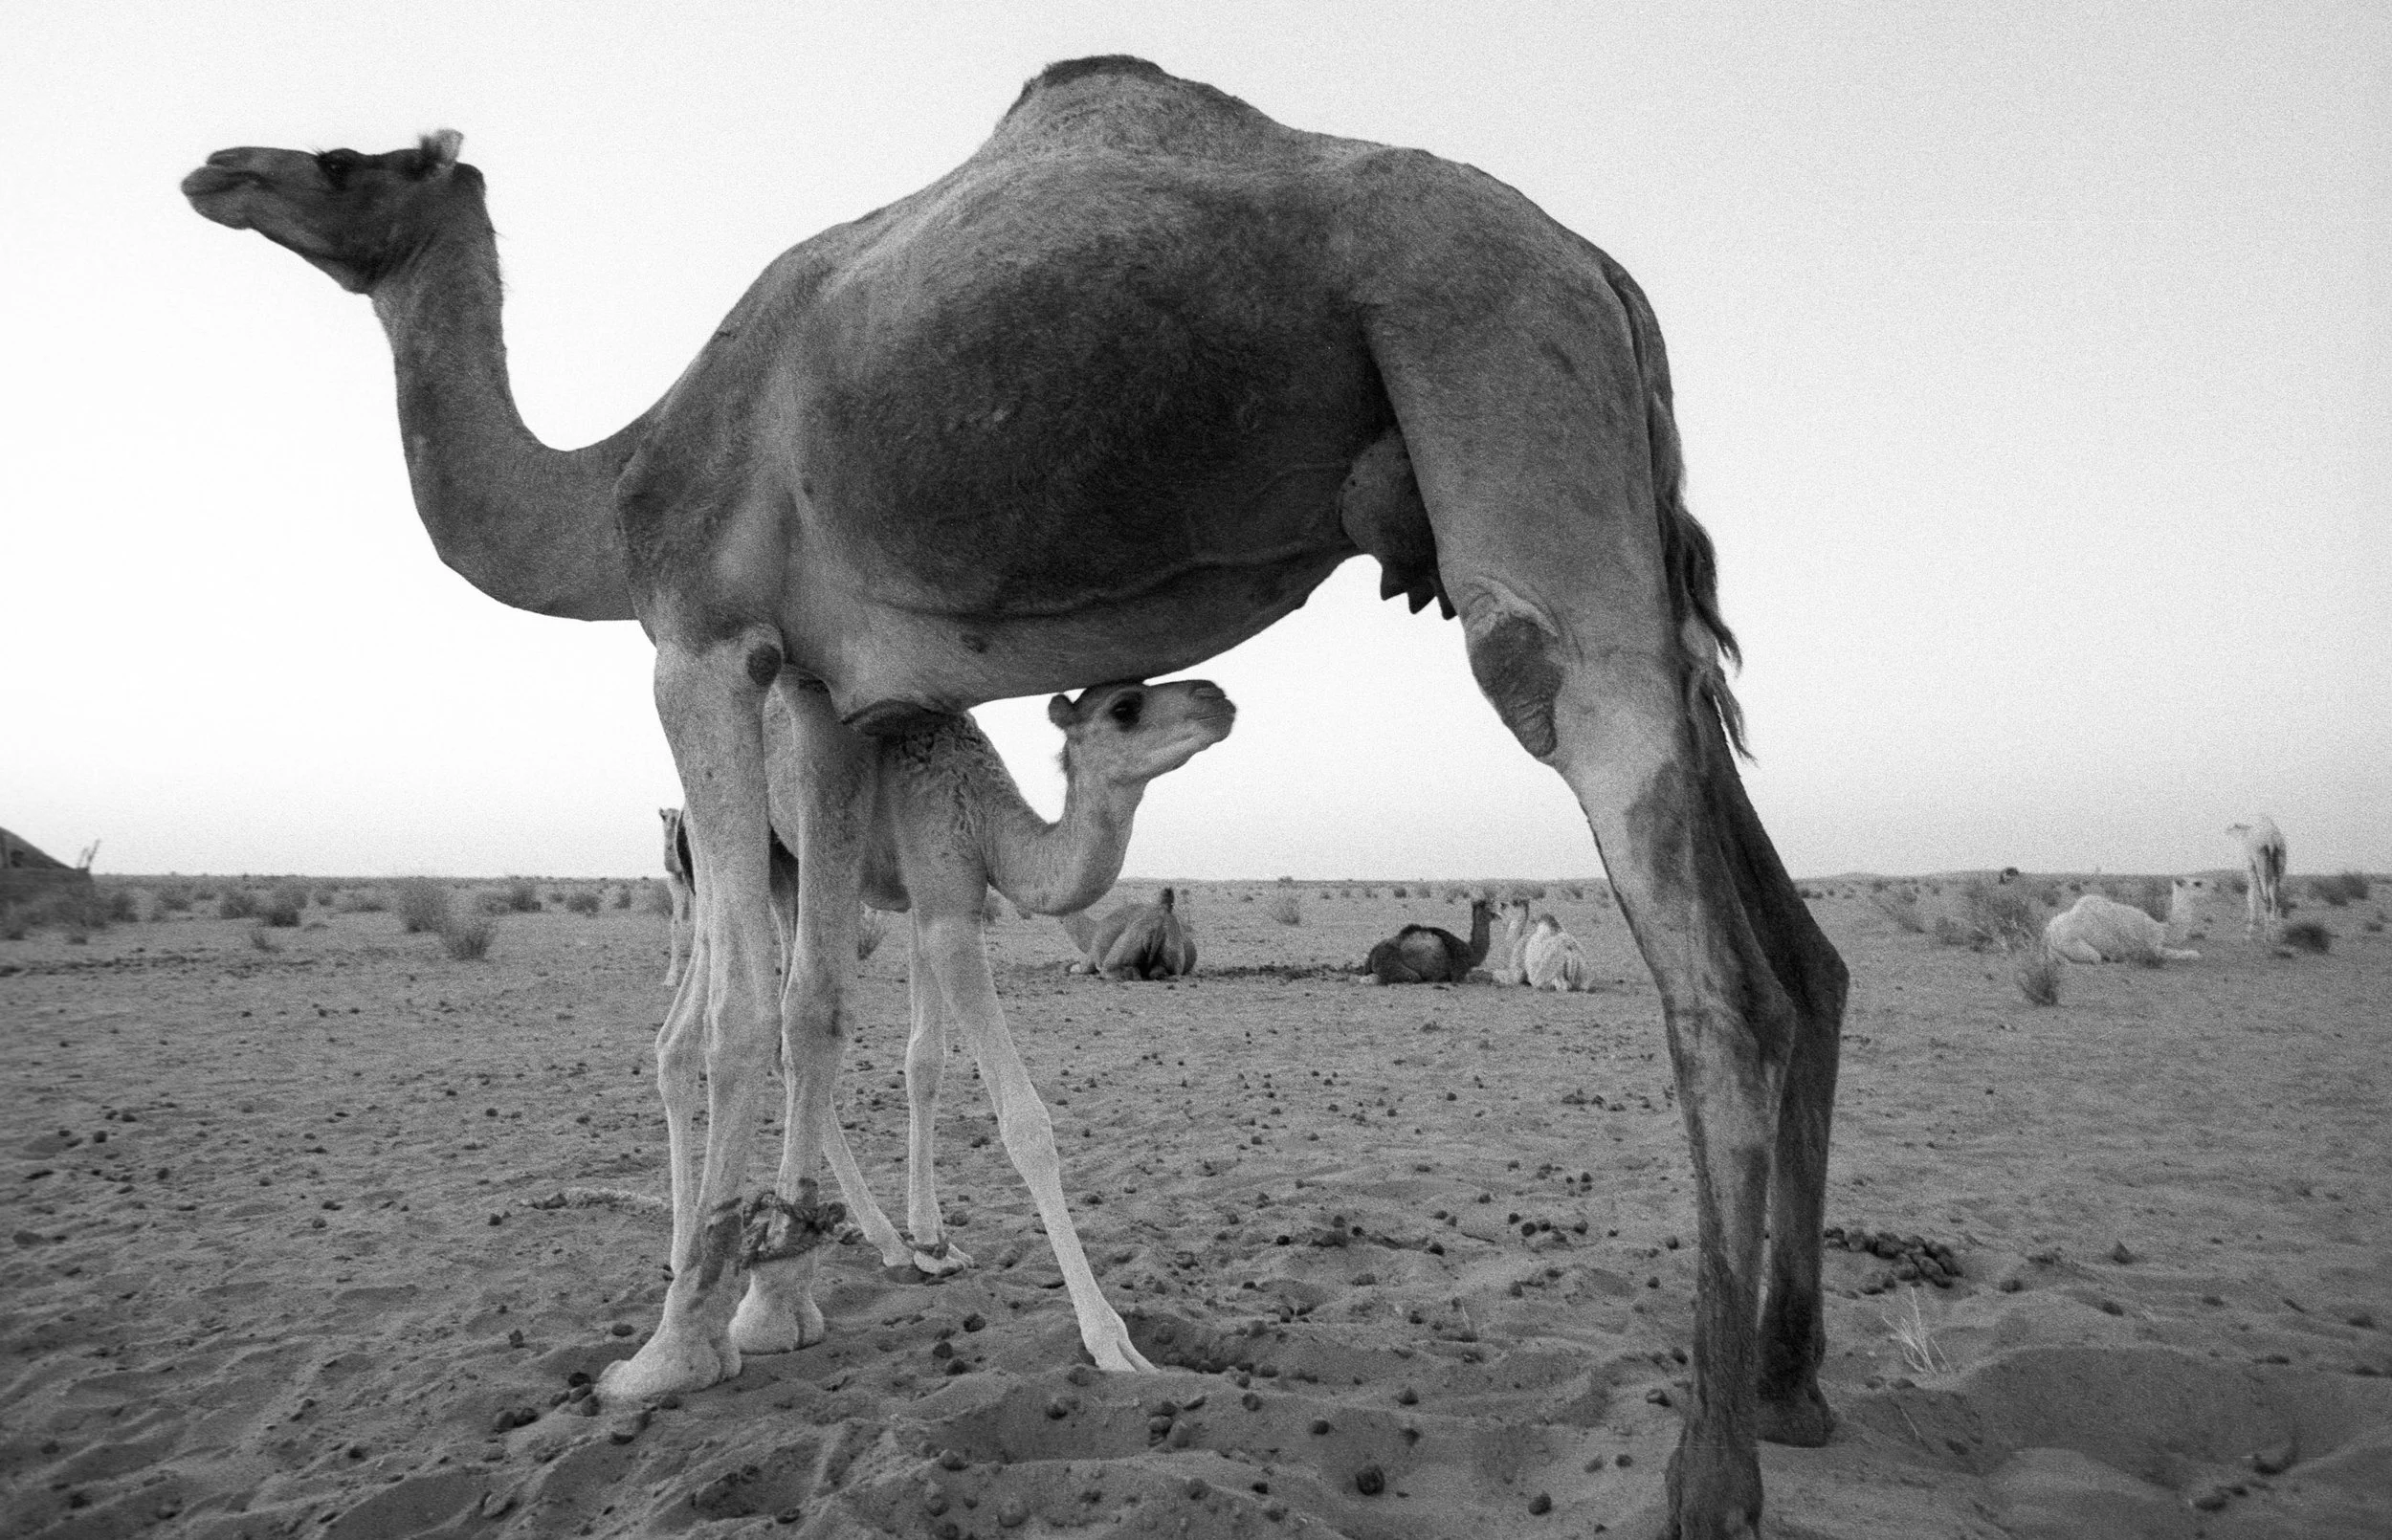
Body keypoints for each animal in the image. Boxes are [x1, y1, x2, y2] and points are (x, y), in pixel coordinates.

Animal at [1058, 886, 1198, 978]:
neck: (1093, 932)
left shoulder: (1091, 957)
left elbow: (1074, 968)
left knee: (1121, 971)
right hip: (1172, 961)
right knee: (1161, 972)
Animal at [1365, 897, 1494, 984]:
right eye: (1489, 906)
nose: (1496, 914)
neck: (1471, 953)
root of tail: (1372, 954)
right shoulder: (1459, 974)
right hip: (1392, 964)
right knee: (1414, 977)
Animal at [2042, 893, 2201, 964]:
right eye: (2197, 884)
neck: (2163, 929)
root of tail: (2049, 930)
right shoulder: (2152, 949)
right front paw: (2195, 954)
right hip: (2071, 944)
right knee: (2094, 957)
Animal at [2229, 817, 2287, 940]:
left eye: (2233, 826)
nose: (2226, 829)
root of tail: (2271, 840)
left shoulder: (2250, 867)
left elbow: (2251, 895)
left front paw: (2249, 932)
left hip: (2260, 860)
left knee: (2266, 897)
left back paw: (2265, 936)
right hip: (2280, 860)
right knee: (2276, 897)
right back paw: (2276, 933)